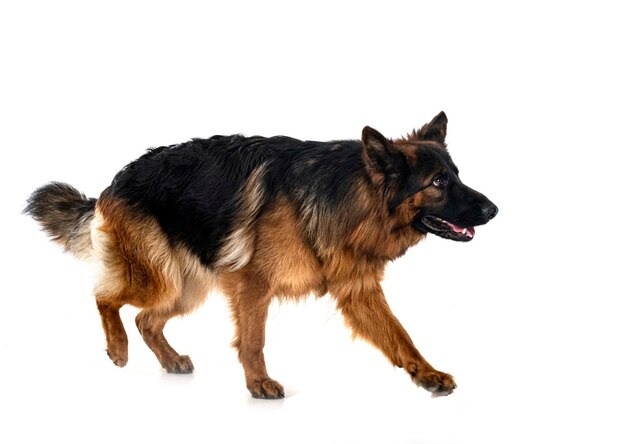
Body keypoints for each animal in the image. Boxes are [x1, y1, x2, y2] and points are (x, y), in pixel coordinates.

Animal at [25, 112, 498, 398]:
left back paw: (170, 359)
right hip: (160, 278)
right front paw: (259, 382)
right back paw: (118, 348)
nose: (494, 210)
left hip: (186, 287)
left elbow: (401, 336)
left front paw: (426, 373)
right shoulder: (252, 285)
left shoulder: (359, 292)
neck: (351, 197)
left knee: (146, 319)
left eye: (457, 175)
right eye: (438, 182)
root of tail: (115, 181)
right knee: (105, 298)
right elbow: (254, 340)